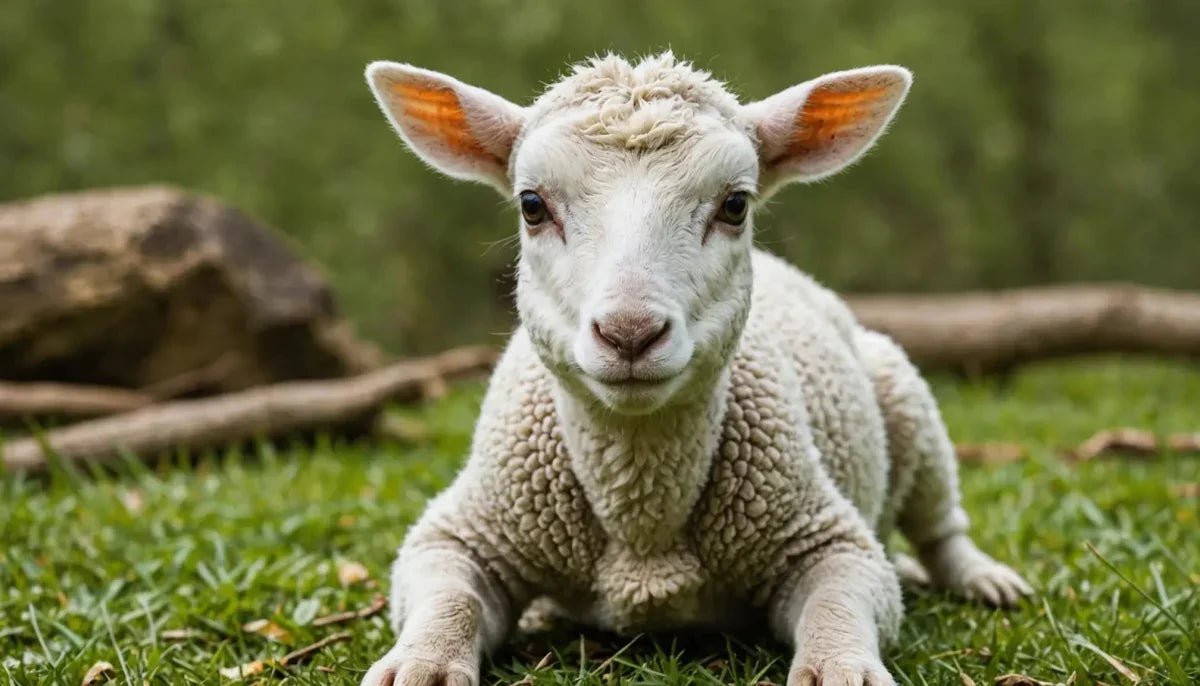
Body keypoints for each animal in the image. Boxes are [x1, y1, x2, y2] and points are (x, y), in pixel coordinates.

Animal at [360, 52, 1032, 686]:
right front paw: (422, 662)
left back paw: (981, 578)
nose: (630, 333)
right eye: (532, 205)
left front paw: (842, 668)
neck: (642, 521)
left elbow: (839, 604)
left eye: (734, 205)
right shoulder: (465, 532)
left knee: (939, 523)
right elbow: (449, 599)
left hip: (904, 393)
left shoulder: (828, 537)